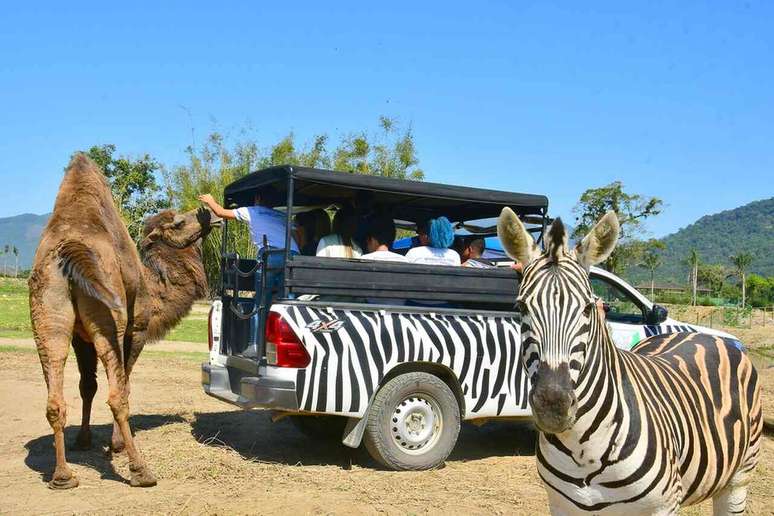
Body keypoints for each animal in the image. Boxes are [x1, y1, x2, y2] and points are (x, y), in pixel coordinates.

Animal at [28, 153, 220, 488]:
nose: (211, 213)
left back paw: (63, 475)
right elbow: (125, 384)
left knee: (55, 394)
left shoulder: (80, 336)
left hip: (47, 314)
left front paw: (83, 440)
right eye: (179, 222)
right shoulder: (138, 328)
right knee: (117, 396)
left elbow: (87, 385)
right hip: (110, 317)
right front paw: (114, 444)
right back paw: (141, 471)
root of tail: (69, 251)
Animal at [498, 208, 764, 512]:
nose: (553, 406)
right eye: (521, 307)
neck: (582, 449)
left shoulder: (663, 506)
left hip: (738, 478)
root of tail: (704, 335)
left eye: (588, 308)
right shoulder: (562, 505)